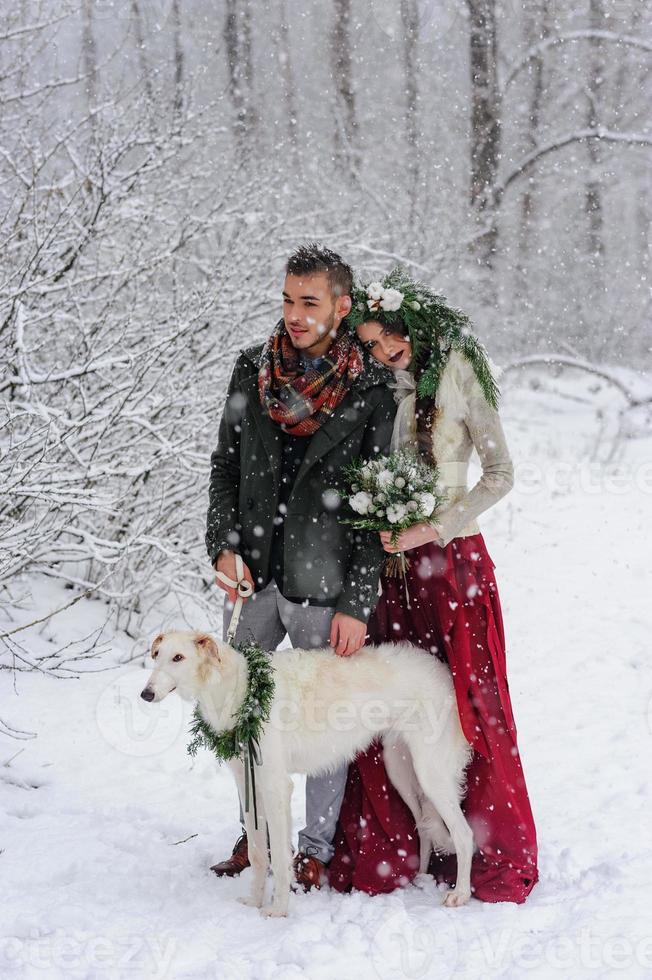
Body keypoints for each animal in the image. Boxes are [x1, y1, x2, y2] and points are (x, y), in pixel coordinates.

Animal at [141, 632, 474, 916]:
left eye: (178, 657)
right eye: (157, 655)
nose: (145, 694)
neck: (243, 691)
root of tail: (444, 672)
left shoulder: (275, 785)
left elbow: (280, 858)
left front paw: (277, 909)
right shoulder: (248, 783)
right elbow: (258, 854)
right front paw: (254, 901)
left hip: (430, 773)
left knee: (464, 833)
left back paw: (460, 894)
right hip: (399, 768)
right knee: (424, 826)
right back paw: (421, 876)